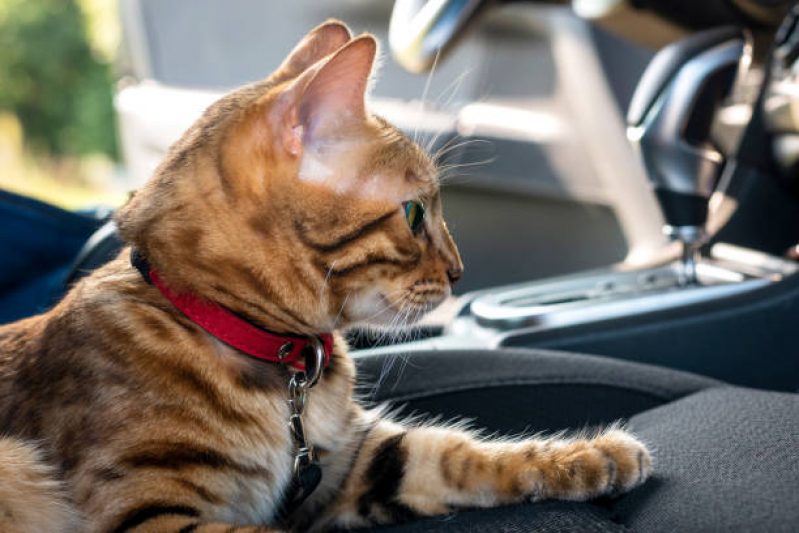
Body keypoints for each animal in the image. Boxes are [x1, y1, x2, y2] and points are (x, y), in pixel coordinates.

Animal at [0, 18, 648, 528]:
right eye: (414, 214)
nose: (462, 272)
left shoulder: (351, 464)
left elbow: (462, 455)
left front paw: (589, 457)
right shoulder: (146, 514)